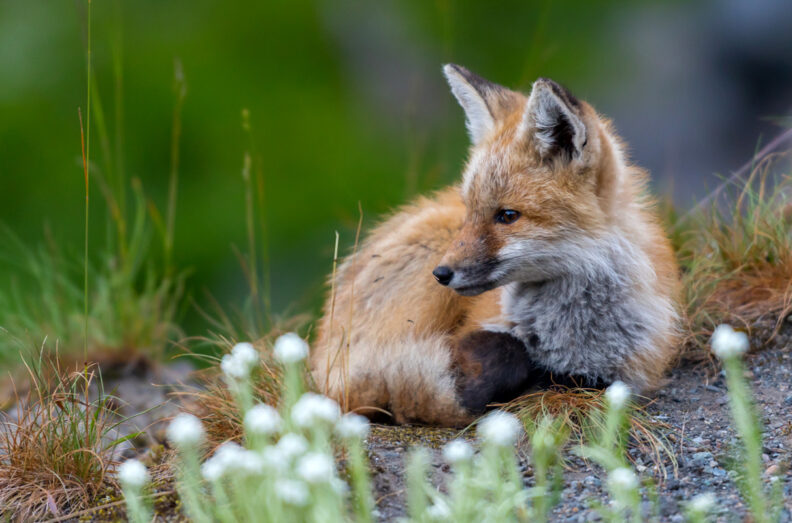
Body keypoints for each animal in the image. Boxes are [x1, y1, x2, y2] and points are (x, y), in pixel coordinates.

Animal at [310, 64, 681, 427]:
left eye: (507, 215)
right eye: (471, 210)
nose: (441, 273)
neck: (565, 329)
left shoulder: (624, 373)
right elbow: (500, 357)